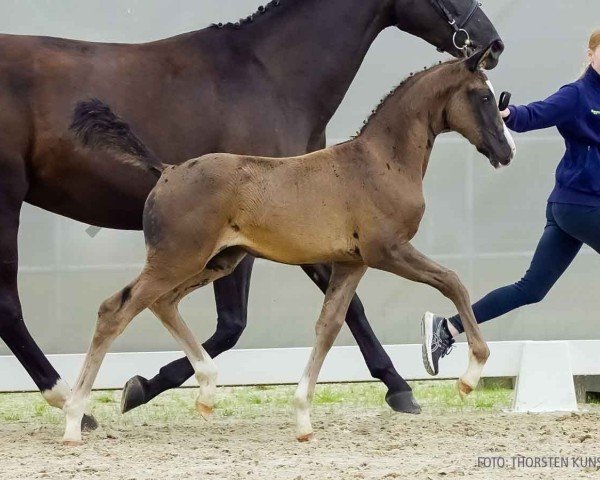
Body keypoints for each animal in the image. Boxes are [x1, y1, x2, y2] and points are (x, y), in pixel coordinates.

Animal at [0, 0, 502, 424]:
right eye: (482, 96)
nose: (491, 41)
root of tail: (166, 170)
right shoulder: (369, 248)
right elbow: (235, 325)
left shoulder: (334, 251)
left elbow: (338, 316)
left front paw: (397, 389)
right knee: (65, 307)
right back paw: (74, 406)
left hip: (207, 258)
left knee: (150, 303)